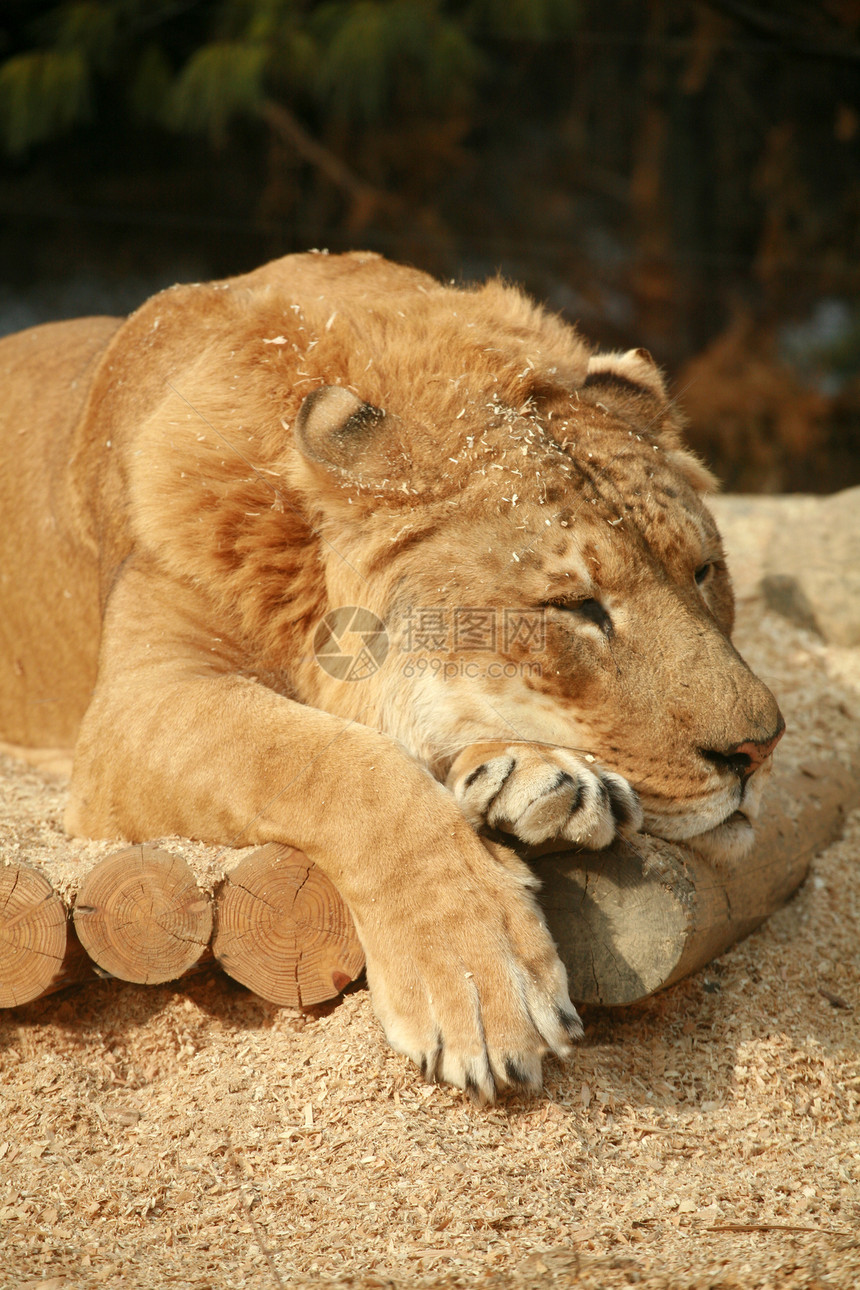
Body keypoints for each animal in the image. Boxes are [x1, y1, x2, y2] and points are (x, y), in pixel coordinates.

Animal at [0, 251, 783, 1099]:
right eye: (577, 607)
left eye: (703, 570)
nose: (760, 750)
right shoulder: (139, 703)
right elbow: (330, 761)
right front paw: (479, 984)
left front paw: (538, 778)